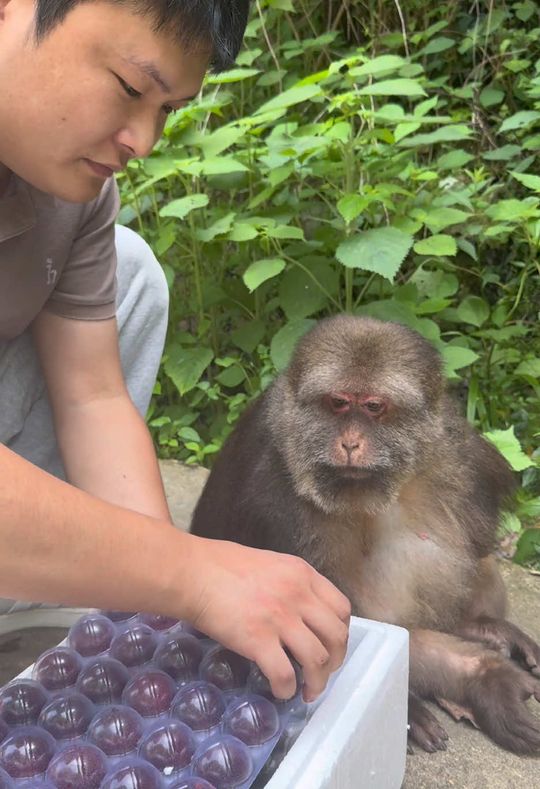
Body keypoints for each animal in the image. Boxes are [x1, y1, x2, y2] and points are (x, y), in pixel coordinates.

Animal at [190, 315, 540, 755]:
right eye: (338, 403)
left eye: (374, 407)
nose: (351, 443)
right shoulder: (270, 500)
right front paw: (460, 684)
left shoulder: (462, 453)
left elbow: (473, 548)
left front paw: (477, 634)